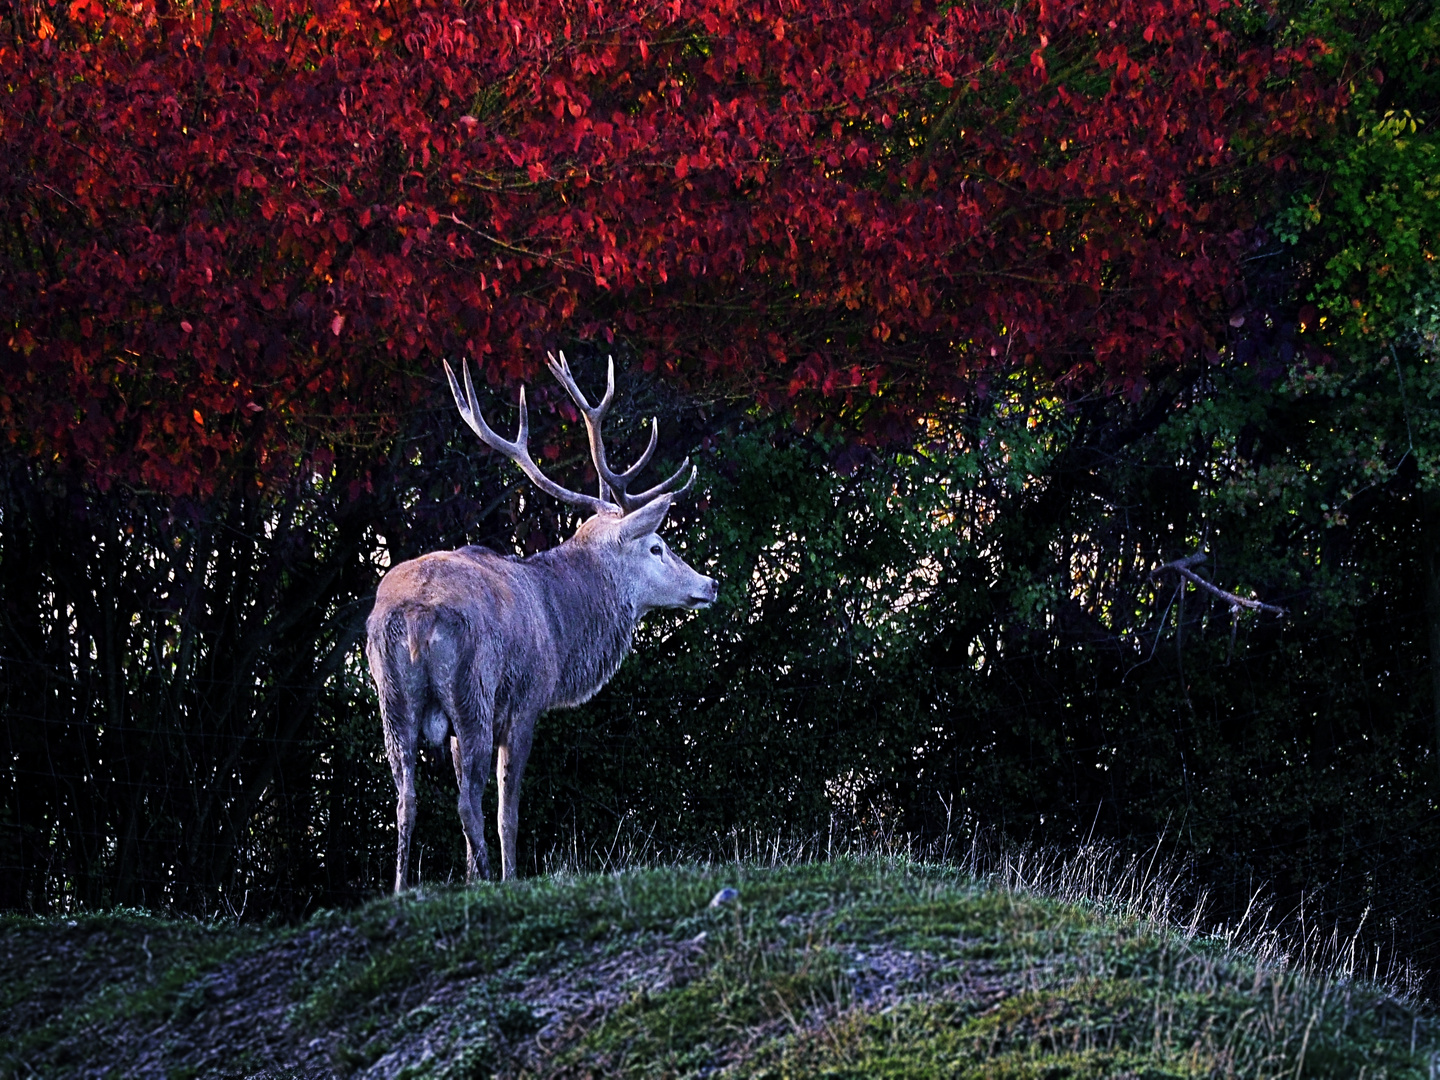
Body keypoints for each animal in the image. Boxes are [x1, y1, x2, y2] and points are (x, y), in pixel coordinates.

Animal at [365, 352, 714, 887]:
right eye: (657, 546)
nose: (709, 584)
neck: (559, 624)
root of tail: (415, 614)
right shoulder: (527, 700)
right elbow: (508, 809)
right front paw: (505, 876)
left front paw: (470, 877)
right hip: (472, 689)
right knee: (468, 803)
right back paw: (491, 877)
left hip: (392, 697)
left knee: (405, 799)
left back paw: (404, 888)